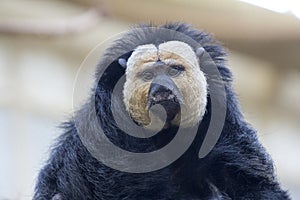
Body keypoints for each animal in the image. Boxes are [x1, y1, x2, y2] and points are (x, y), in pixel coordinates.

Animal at [33, 22, 290, 199]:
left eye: (174, 70)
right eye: (148, 75)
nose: (162, 89)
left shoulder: (220, 120)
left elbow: (252, 183)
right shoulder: (108, 132)